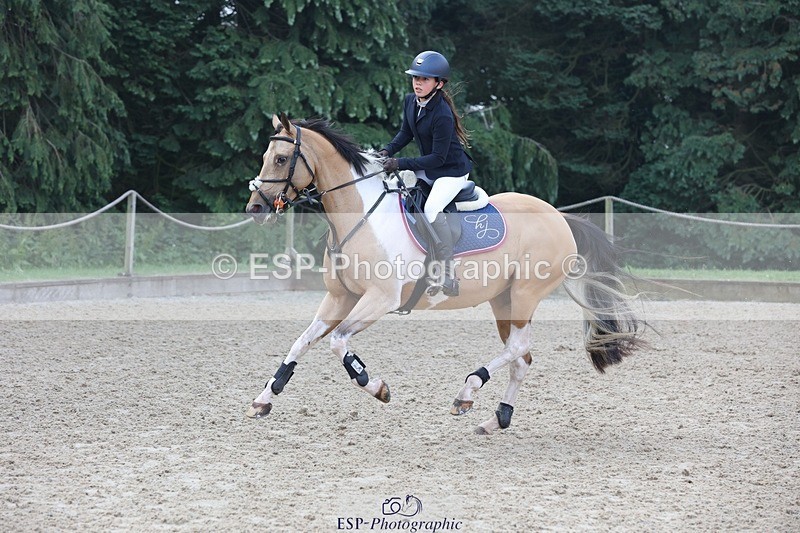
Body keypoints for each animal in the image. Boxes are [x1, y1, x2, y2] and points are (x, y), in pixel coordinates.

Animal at [244, 114, 646, 434]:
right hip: (504, 300)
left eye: (281, 159)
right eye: (265, 157)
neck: (360, 214)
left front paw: (375, 386)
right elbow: (301, 342)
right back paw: (496, 418)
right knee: (521, 358)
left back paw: (467, 391)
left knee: (518, 348)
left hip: (525, 294)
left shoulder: (379, 299)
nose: (255, 208)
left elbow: (339, 342)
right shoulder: (340, 297)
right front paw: (264, 398)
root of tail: (560, 217)